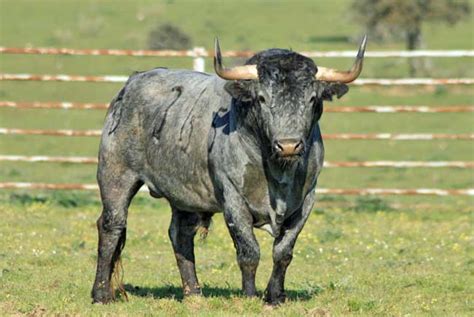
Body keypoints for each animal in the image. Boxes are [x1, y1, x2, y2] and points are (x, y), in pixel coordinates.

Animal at [91, 35, 366, 304]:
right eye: (262, 98)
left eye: (311, 98)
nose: (288, 145)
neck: (277, 171)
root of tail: (132, 83)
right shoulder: (233, 199)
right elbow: (249, 250)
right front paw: (249, 296)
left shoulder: (306, 200)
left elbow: (283, 251)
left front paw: (275, 296)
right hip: (116, 174)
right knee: (111, 226)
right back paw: (101, 294)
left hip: (184, 194)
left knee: (180, 234)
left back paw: (194, 294)